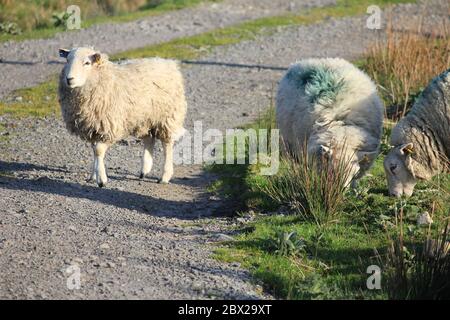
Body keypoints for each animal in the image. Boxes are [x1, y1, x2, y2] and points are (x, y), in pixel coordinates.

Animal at [57, 47, 186, 188]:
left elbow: (98, 151)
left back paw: (164, 176)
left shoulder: (108, 126)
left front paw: (101, 180)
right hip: (144, 117)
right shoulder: (93, 127)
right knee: (149, 140)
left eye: (87, 63)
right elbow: (94, 151)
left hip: (167, 116)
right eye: (67, 60)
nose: (69, 79)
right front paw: (93, 175)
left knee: (167, 145)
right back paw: (144, 170)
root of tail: (168, 63)